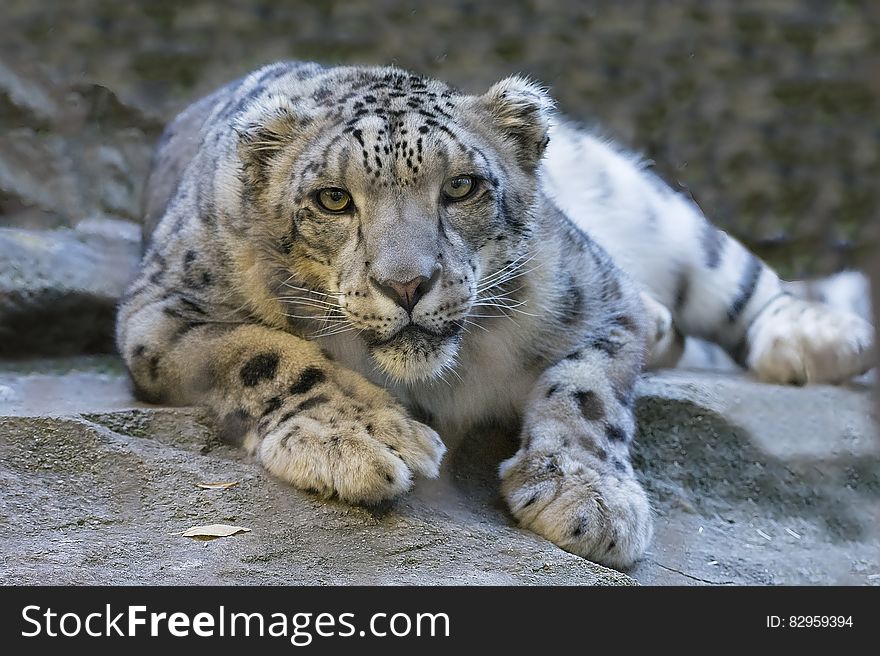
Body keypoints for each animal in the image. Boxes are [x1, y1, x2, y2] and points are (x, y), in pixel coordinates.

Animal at [115, 59, 872, 568]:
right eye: (332, 198)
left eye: (461, 187)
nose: (407, 284)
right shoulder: (162, 312)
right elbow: (265, 352)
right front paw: (364, 439)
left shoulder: (601, 295)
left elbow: (587, 391)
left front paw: (588, 499)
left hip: (648, 205)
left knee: (734, 273)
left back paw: (818, 336)